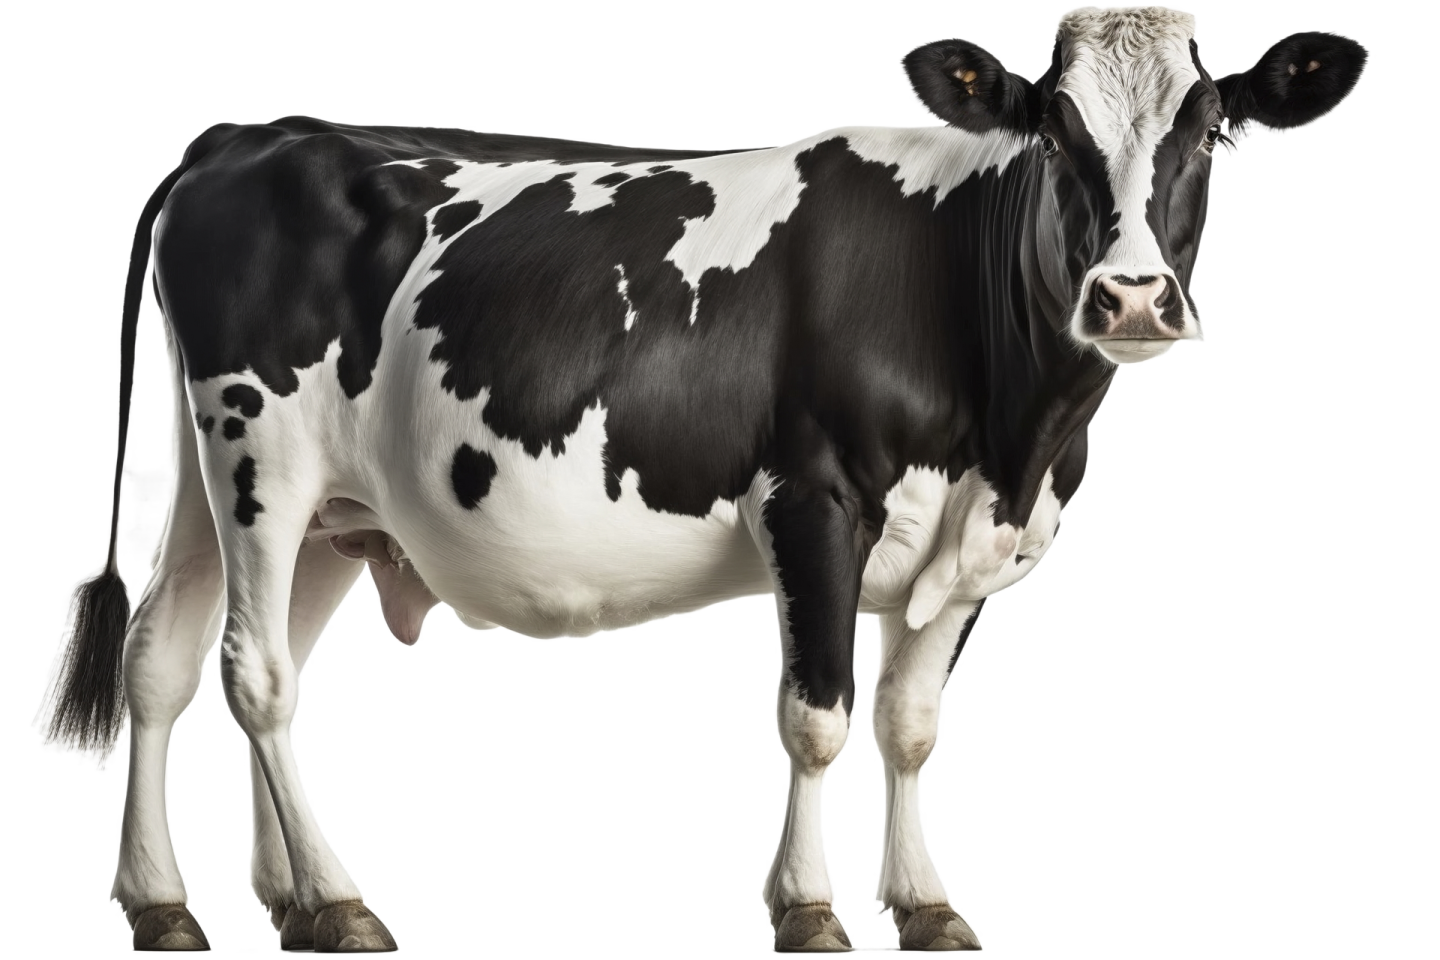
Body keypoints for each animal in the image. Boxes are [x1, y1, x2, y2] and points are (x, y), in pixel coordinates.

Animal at [33, 7, 1370, 953]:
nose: (1131, 299)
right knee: (254, 672)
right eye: (1056, 135)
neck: (1012, 437)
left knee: (169, 655)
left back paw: (201, 904)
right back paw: (337, 903)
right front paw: (809, 911)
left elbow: (913, 725)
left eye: (1211, 136)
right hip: (260, 450)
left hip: (290, 500)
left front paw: (926, 905)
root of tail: (247, 136)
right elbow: (818, 715)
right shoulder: (814, 500)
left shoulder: (967, 548)